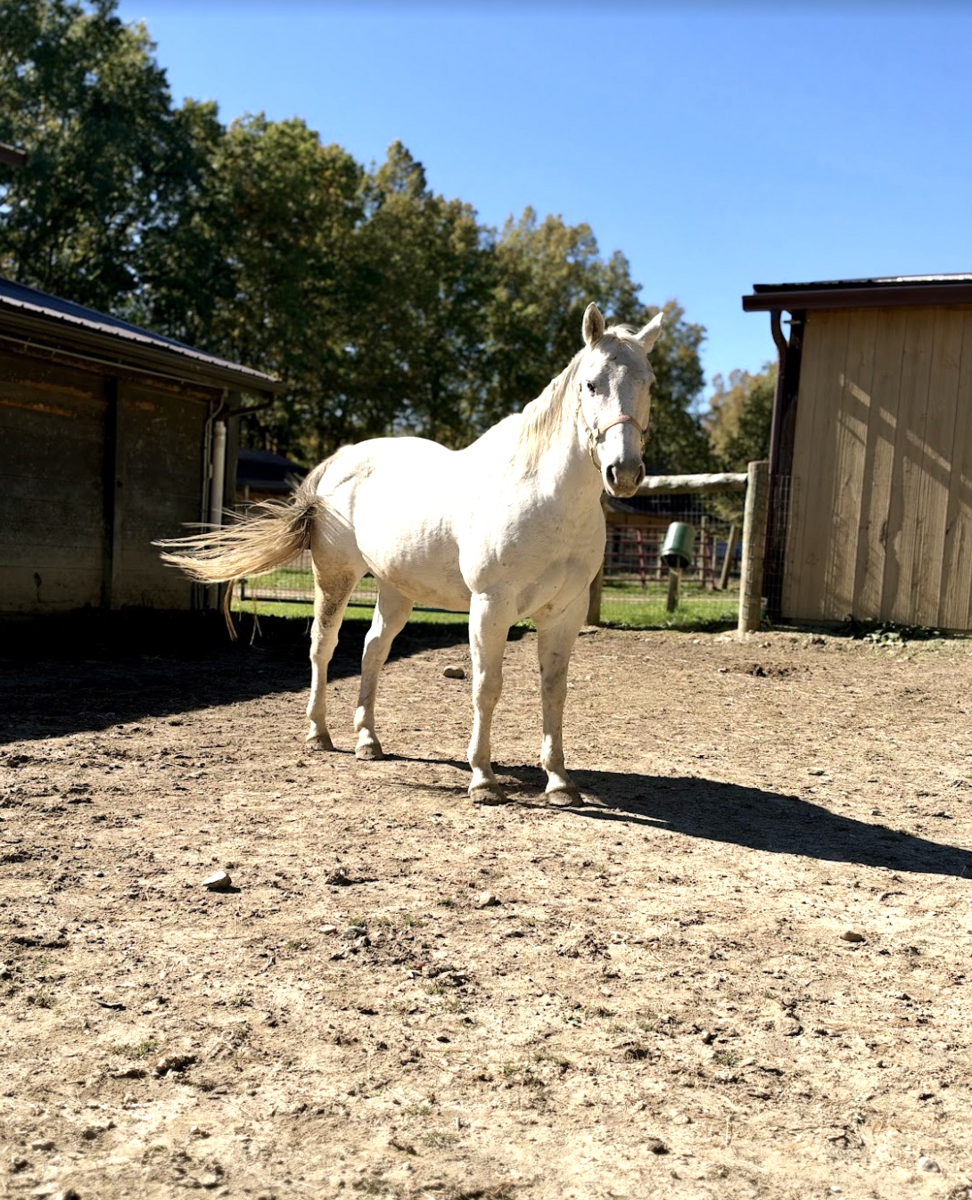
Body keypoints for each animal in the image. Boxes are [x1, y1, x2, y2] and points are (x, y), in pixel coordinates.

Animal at [156, 302, 664, 805]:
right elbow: (486, 688)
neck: (543, 494)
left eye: (650, 384)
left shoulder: (565, 612)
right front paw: (483, 779)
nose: (624, 472)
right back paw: (319, 734)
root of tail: (339, 462)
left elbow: (554, 692)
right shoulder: (490, 607)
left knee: (372, 650)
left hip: (395, 590)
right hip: (335, 578)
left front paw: (559, 781)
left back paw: (368, 741)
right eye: (591, 383)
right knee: (323, 646)